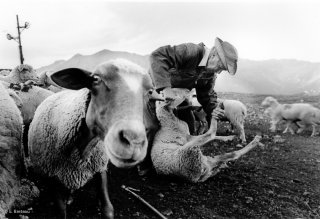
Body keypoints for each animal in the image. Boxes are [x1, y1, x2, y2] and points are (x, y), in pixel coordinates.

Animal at [28, 58, 155, 219]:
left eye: (150, 91)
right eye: (96, 79)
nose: (134, 142)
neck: (83, 151)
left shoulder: (100, 167)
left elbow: (108, 209)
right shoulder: (51, 176)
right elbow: (61, 211)